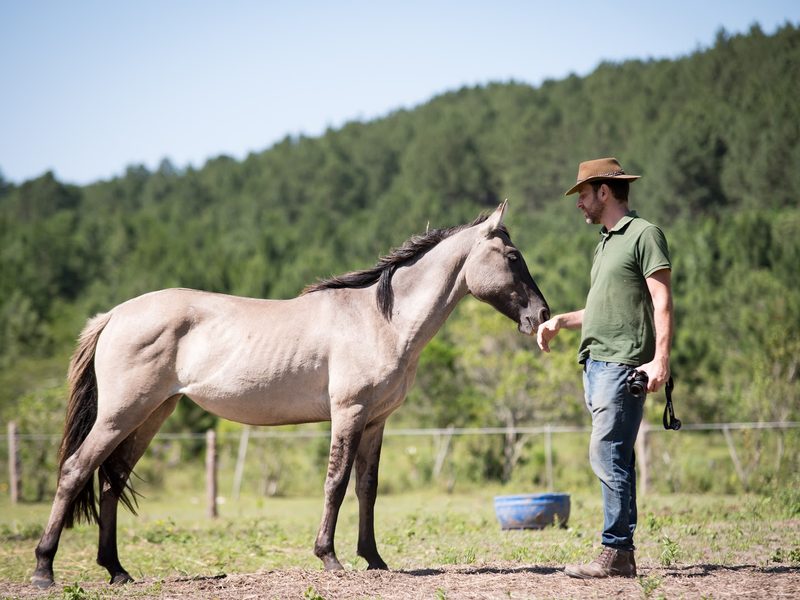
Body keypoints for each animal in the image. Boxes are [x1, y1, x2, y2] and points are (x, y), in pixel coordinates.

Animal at [31, 200, 549, 588]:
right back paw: (44, 570)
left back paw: (117, 571)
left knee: (111, 480)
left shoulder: (376, 421)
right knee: (76, 471)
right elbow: (336, 483)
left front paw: (374, 560)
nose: (541, 315)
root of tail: (114, 315)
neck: (381, 319)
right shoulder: (349, 412)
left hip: (152, 414)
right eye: (513, 257)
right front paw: (330, 559)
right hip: (122, 413)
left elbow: (367, 488)